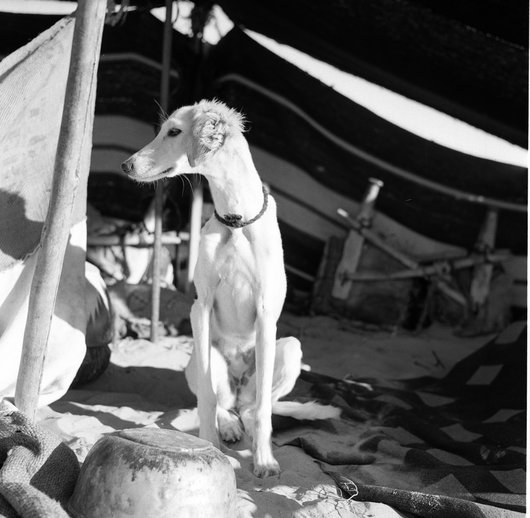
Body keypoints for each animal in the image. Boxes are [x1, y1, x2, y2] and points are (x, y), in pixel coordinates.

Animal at [122, 99, 338, 478]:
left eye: (174, 131)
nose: (126, 165)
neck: (236, 221)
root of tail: (238, 384)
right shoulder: (201, 307)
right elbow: (207, 399)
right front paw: (209, 444)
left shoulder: (266, 315)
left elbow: (265, 407)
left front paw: (264, 459)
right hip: (197, 357)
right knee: (223, 402)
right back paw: (229, 425)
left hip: (289, 350)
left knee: (253, 406)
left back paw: (247, 426)